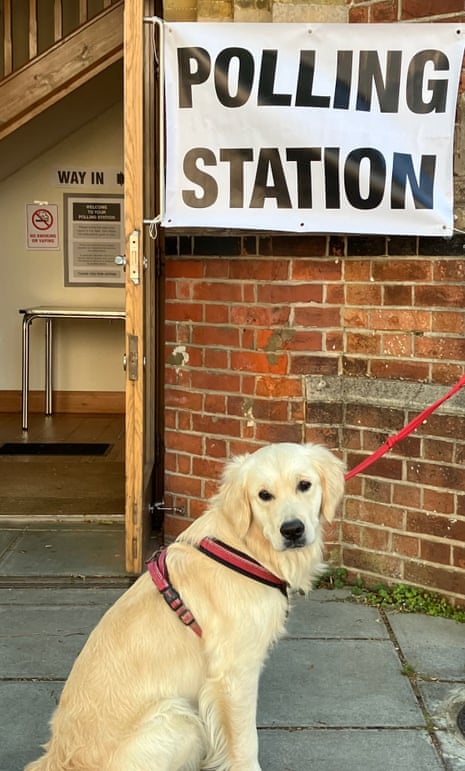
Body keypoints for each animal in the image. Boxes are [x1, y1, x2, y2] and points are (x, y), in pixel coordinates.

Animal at [26, 444, 344, 768]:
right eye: (264, 495)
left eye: (304, 485)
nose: (292, 530)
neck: (246, 548)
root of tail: (57, 758)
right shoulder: (234, 674)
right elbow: (245, 743)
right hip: (179, 718)